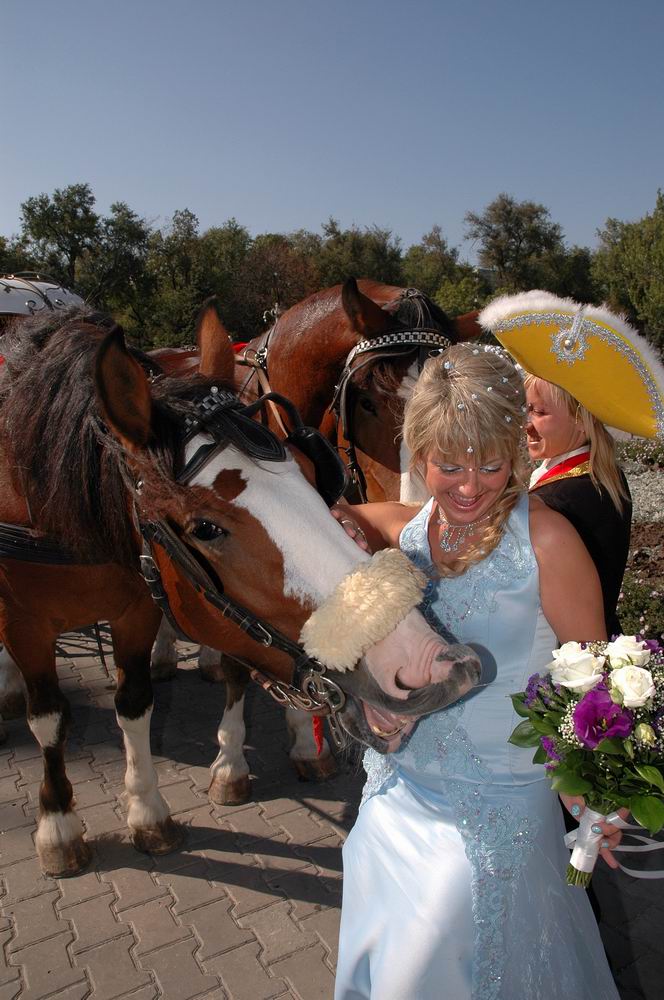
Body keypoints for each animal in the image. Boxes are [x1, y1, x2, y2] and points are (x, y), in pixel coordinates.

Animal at [0, 308, 480, 872]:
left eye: (313, 470)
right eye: (205, 528)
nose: (428, 661)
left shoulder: (139, 602)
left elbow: (135, 703)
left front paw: (148, 809)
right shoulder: (25, 622)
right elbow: (49, 719)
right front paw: (58, 825)